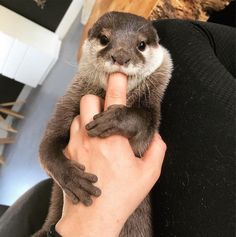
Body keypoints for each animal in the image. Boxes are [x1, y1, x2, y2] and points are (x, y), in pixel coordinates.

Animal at [32, 11, 172, 237]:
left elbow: (144, 123)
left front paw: (114, 120)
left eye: (141, 45)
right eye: (105, 39)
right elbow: (47, 148)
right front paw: (72, 177)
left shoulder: (152, 110)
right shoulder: (67, 104)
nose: (121, 57)